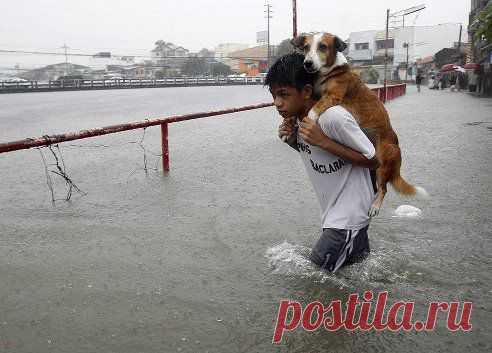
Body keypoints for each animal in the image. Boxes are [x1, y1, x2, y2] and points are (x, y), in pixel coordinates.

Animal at [292, 31, 426, 216]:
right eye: (306, 47)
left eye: (323, 47)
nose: (307, 63)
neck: (329, 72)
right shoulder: (317, 94)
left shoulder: (332, 96)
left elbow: (313, 110)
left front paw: (308, 122)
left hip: (382, 163)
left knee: (384, 189)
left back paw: (375, 207)